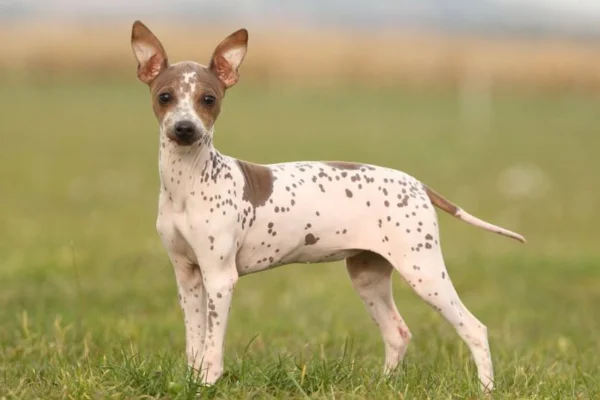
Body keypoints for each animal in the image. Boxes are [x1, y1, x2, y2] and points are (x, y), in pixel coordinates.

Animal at [131, 20, 524, 392]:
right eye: (165, 96)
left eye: (208, 99)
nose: (185, 128)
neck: (189, 182)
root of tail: (417, 185)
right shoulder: (188, 276)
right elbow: (195, 344)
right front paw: (192, 381)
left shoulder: (220, 277)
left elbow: (212, 348)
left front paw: (208, 385)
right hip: (368, 275)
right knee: (398, 333)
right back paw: (383, 385)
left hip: (423, 271)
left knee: (474, 328)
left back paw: (486, 389)